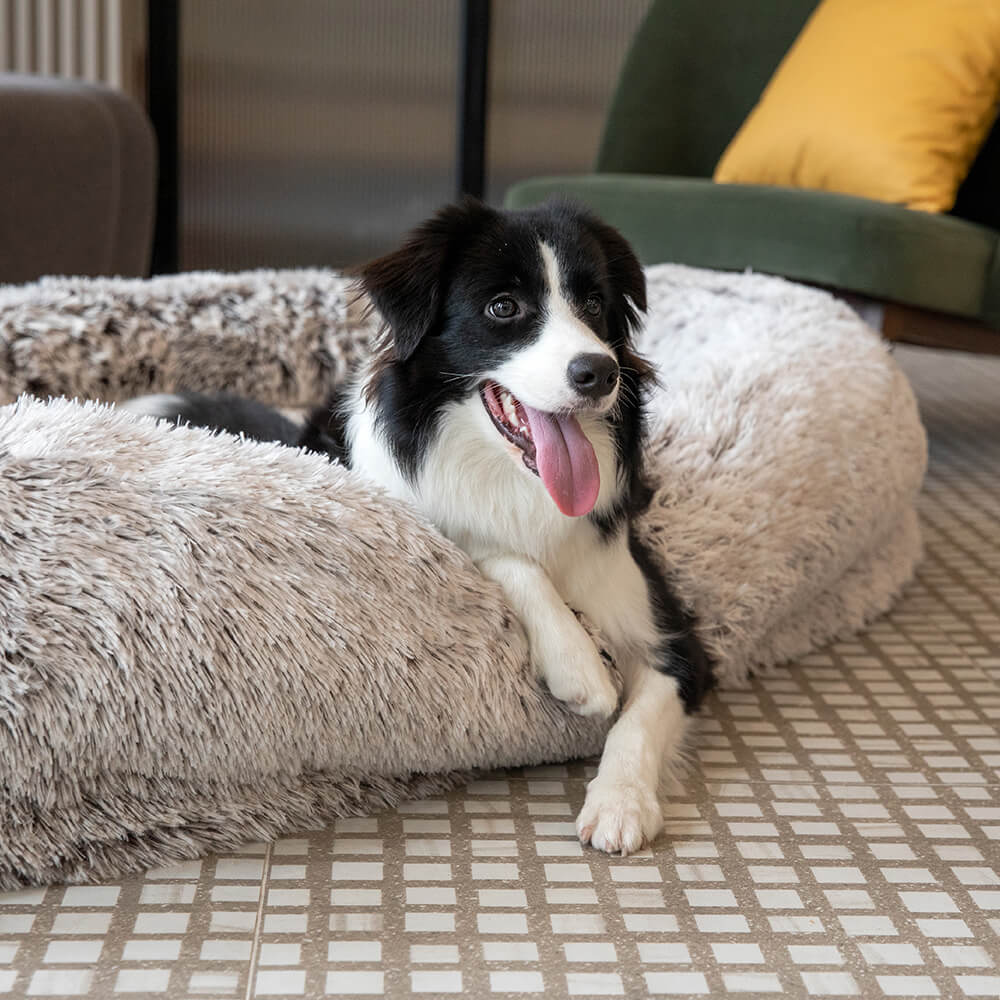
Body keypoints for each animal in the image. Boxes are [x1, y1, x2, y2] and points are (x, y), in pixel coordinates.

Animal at [123, 199, 712, 856]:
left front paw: (620, 802)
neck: (519, 486)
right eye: (502, 307)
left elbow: (639, 719)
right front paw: (578, 664)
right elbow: (503, 556)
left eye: (592, 303)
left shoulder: (670, 630)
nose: (599, 372)